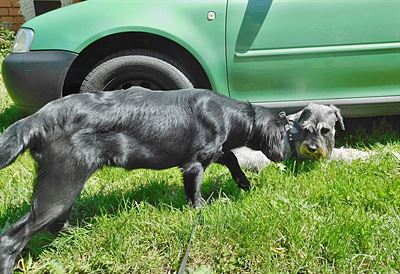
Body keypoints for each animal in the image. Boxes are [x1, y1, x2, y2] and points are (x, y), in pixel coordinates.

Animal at [0, 88, 340, 272]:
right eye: (289, 134)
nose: (294, 154)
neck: (225, 112)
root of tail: (36, 119)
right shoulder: (193, 165)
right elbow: (197, 195)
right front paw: (202, 210)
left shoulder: (213, 152)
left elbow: (230, 157)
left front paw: (244, 183)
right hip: (62, 183)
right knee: (14, 237)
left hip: (64, 185)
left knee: (56, 223)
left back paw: (82, 231)